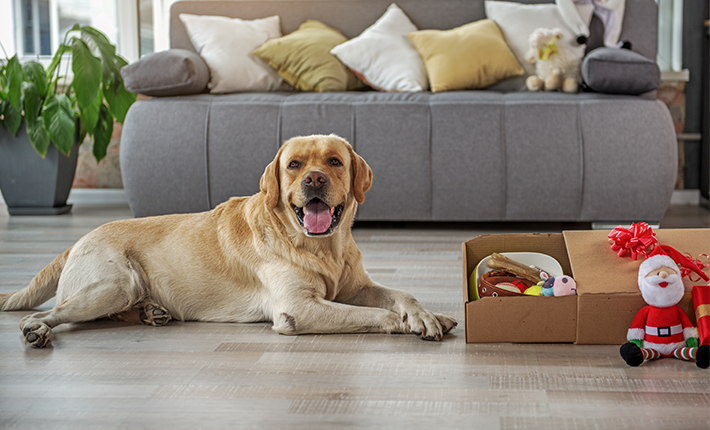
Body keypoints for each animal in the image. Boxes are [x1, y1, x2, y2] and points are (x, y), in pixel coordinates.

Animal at [0, 134, 456, 346]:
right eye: (293, 165)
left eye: (334, 161)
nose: (313, 179)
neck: (320, 247)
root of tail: (78, 240)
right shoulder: (297, 309)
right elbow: (375, 314)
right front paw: (406, 322)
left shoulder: (356, 286)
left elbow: (402, 294)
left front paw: (427, 314)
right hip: (114, 283)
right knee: (53, 313)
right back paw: (36, 331)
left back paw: (152, 313)